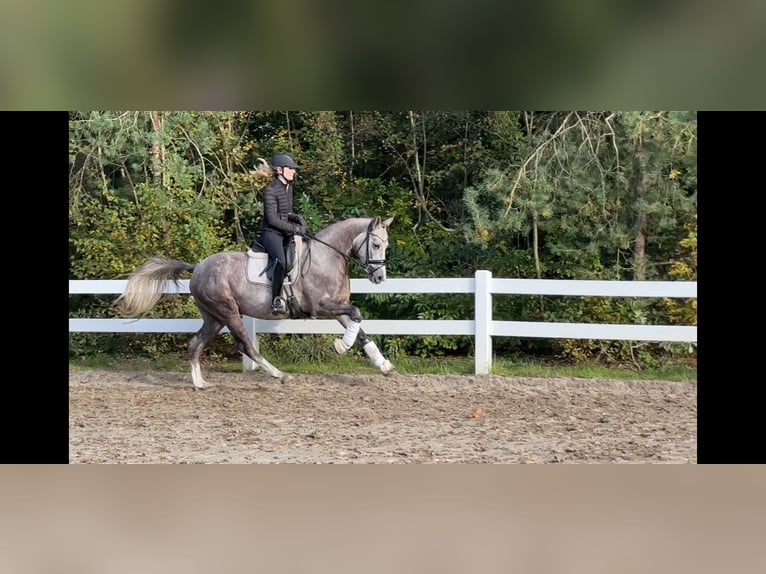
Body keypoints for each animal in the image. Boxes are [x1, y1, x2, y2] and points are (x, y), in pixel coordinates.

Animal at [118, 217, 402, 392]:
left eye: (386, 244)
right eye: (376, 244)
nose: (380, 278)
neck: (327, 257)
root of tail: (197, 267)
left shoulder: (337, 306)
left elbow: (360, 327)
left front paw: (385, 366)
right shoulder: (319, 308)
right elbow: (357, 313)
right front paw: (341, 346)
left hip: (214, 317)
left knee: (195, 344)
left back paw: (200, 384)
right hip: (228, 312)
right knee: (246, 346)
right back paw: (279, 375)